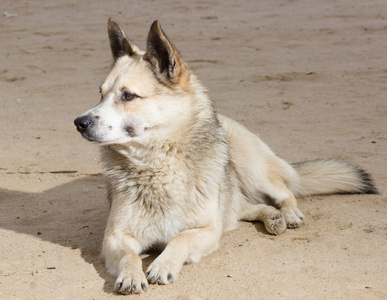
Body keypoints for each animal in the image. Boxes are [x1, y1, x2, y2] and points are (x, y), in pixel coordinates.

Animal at [73, 19, 378, 296]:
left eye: (128, 96)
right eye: (100, 94)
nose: (79, 122)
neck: (158, 165)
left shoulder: (207, 230)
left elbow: (180, 238)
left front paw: (162, 265)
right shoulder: (115, 237)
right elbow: (129, 255)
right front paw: (131, 275)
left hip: (251, 168)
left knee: (285, 192)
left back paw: (288, 214)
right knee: (248, 208)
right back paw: (272, 217)